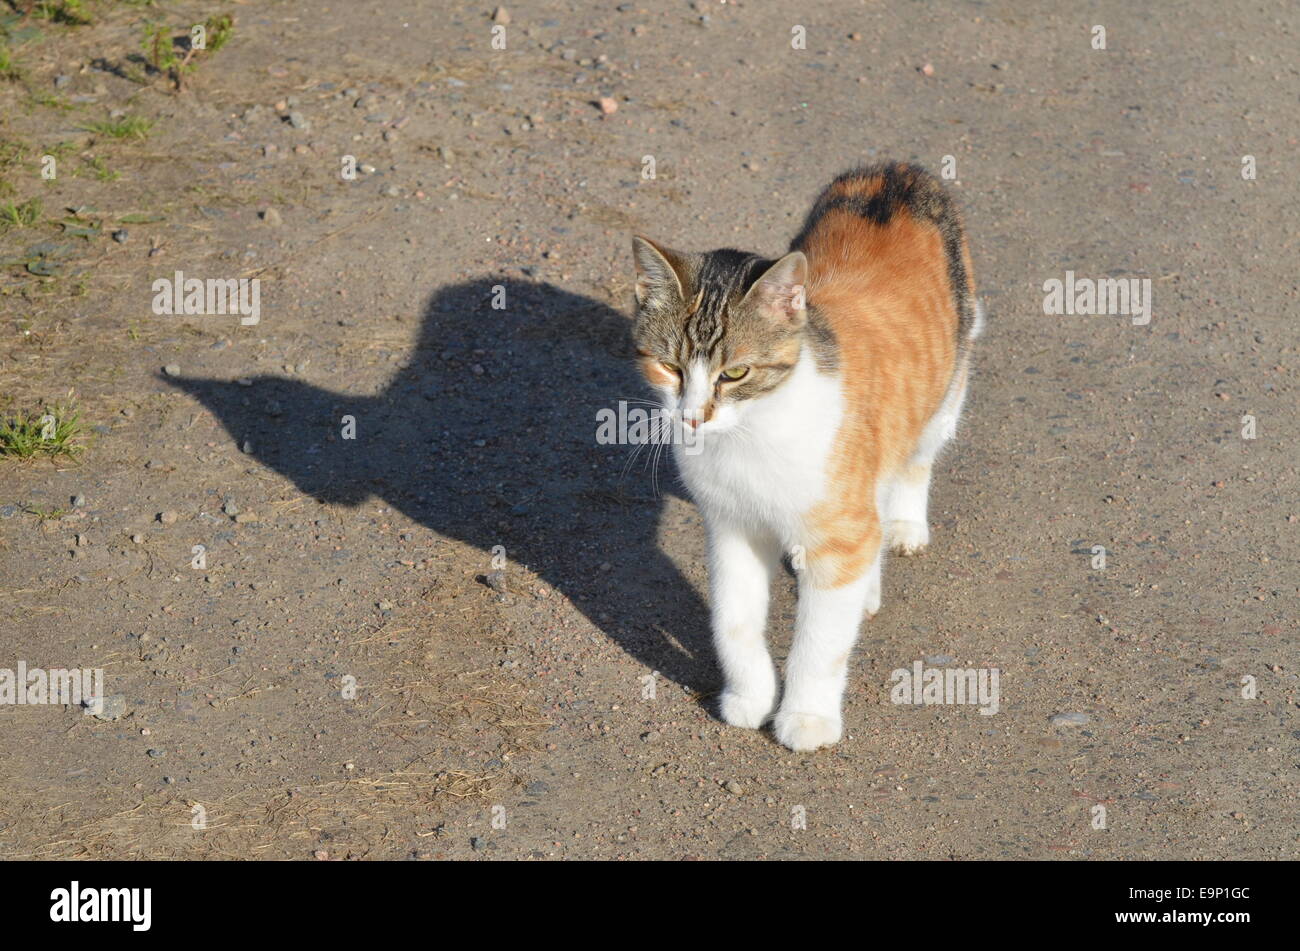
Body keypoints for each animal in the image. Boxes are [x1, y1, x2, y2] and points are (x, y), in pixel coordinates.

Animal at [631, 164, 982, 758]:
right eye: (670, 367)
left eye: (735, 373)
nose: (693, 417)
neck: (751, 433)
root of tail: (897, 171)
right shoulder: (731, 526)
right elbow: (733, 621)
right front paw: (749, 697)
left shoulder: (839, 533)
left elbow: (820, 642)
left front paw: (807, 717)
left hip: (947, 387)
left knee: (912, 463)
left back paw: (902, 528)